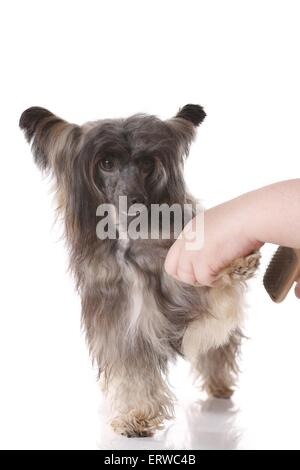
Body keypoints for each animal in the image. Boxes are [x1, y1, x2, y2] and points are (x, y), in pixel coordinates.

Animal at [19, 105, 260, 436]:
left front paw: (235, 262)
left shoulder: (186, 284)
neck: (129, 243)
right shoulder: (120, 323)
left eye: (147, 162)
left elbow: (213, 295)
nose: (136, 201)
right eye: (106, 163)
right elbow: (132, 371)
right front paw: (137, 415)